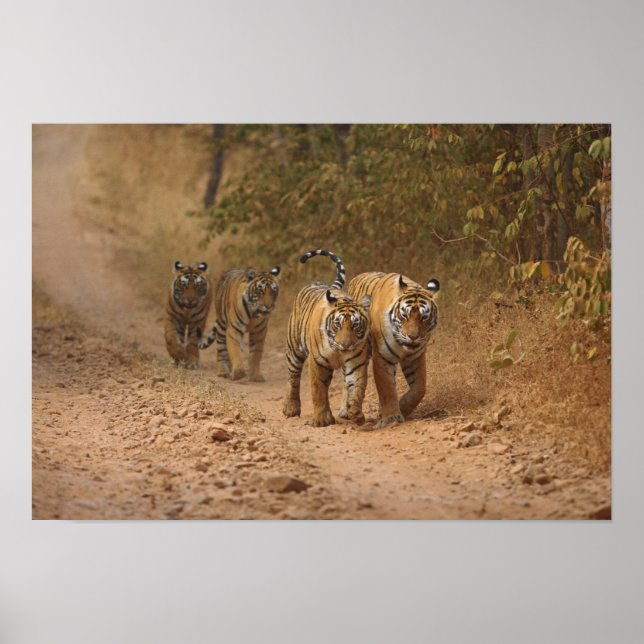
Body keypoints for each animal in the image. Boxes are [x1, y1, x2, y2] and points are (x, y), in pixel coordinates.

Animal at [283, 249, 372, 427]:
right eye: (337, 324)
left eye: (356, 325)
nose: (345, 345)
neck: (338, 351)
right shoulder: (317, 362)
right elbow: (318, 390)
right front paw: (322, 419)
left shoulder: (356, 363)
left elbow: (356, 388)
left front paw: (355, 413)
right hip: (294, 349)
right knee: (293, 377)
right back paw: (290, 408)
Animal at [346, 272, 440, 428]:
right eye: (405, 315)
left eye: (424, 317)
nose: (413, 337)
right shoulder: (382, 357)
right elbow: (387, 388)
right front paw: (391, 417)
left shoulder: (415, 357)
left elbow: (419, 388)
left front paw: (402, 408)